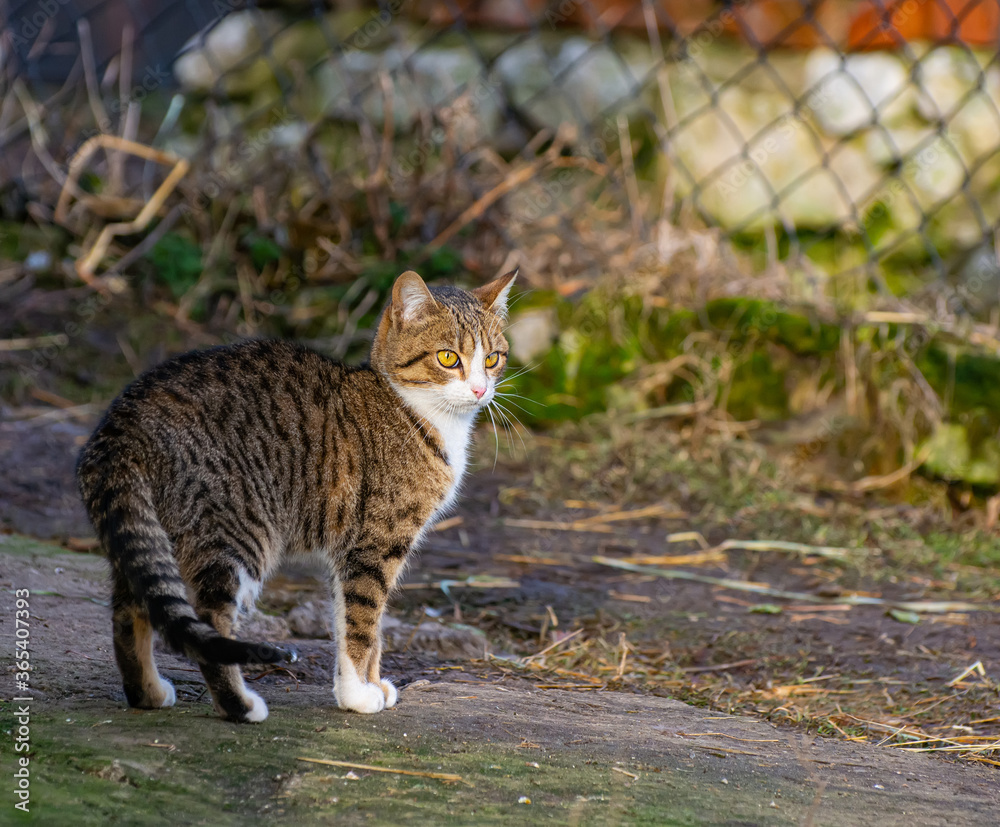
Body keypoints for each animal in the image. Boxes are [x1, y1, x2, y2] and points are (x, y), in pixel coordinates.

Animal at [77, 270, 516, 724]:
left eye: (492, 359)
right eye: (448, 358)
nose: (480, 391)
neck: (414, 409)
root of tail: (121, 424)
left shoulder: (351, 551)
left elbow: (354, 622)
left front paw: (368, 684)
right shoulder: (375, 545)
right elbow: (363, 622)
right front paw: (358, 695)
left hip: (150, 527)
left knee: (131, 607)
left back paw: (146, 692)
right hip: (235, 530)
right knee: (209, 618)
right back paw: (239, 705)